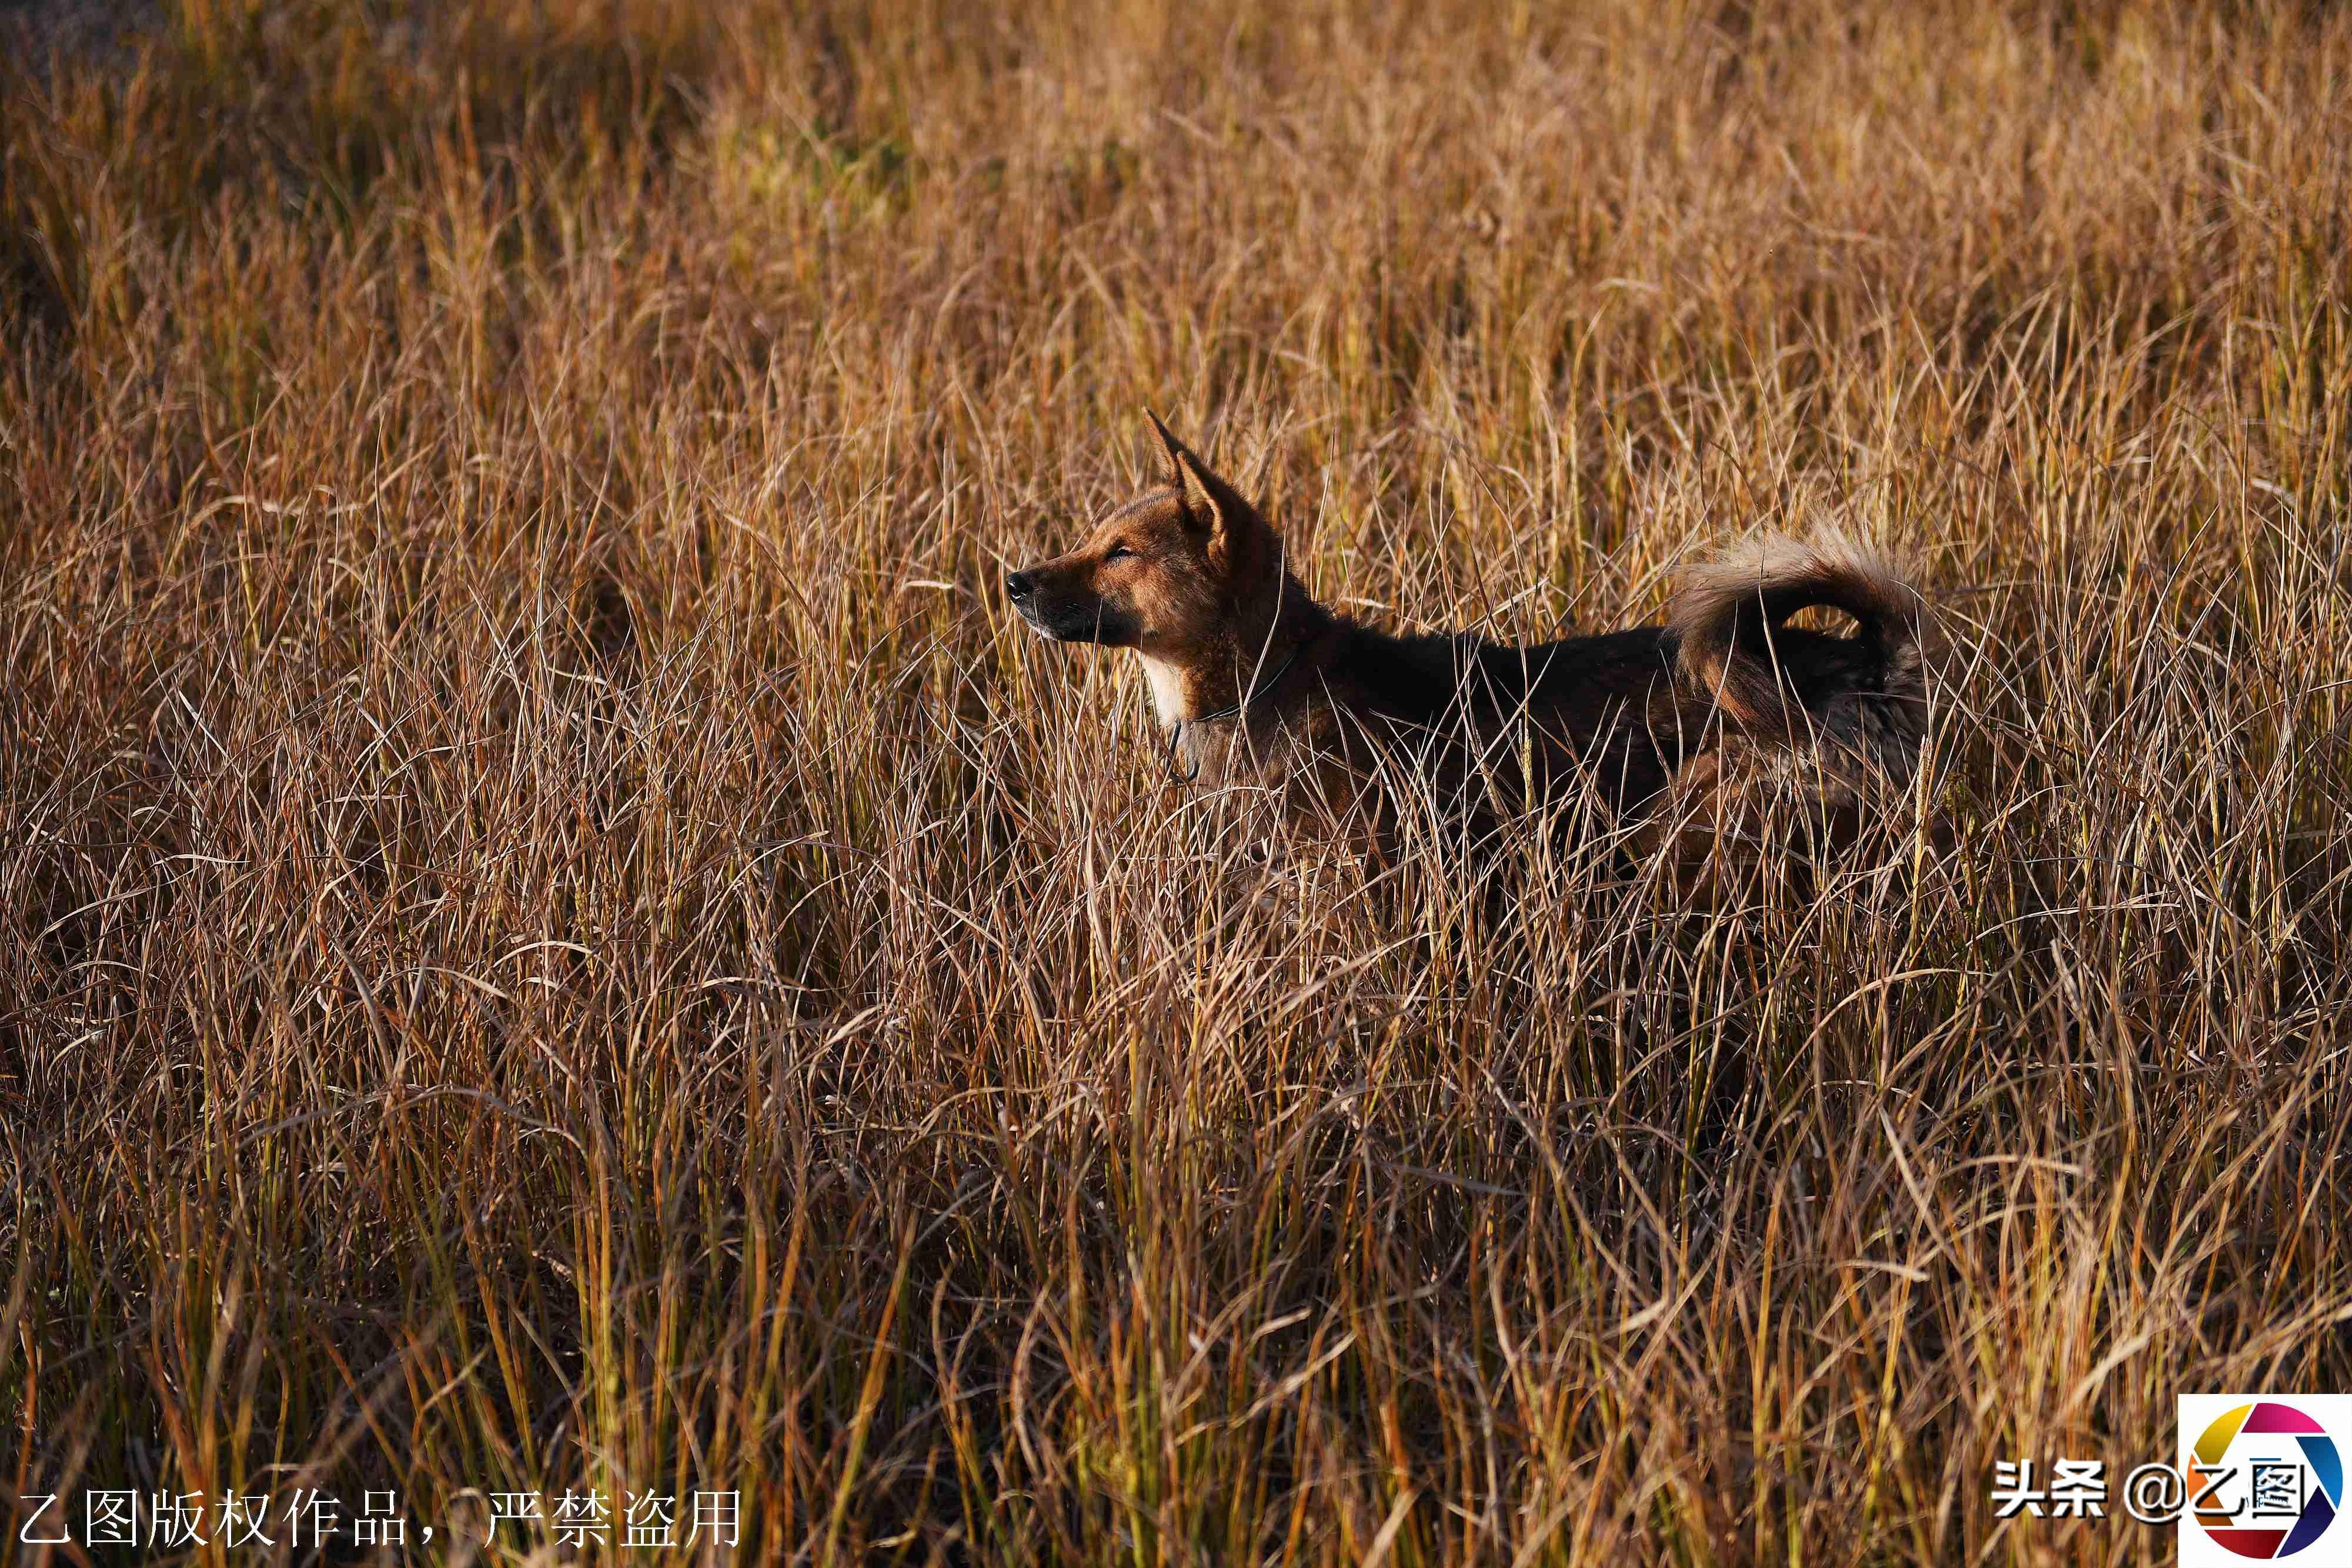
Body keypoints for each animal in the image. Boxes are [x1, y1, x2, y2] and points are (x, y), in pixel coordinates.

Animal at [1007, 413, 1929, 860]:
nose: (1012, 580)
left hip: (1694, 821)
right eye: (1092, 537)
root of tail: (1867, 661)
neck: (1263, 682)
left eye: (1121, 553)